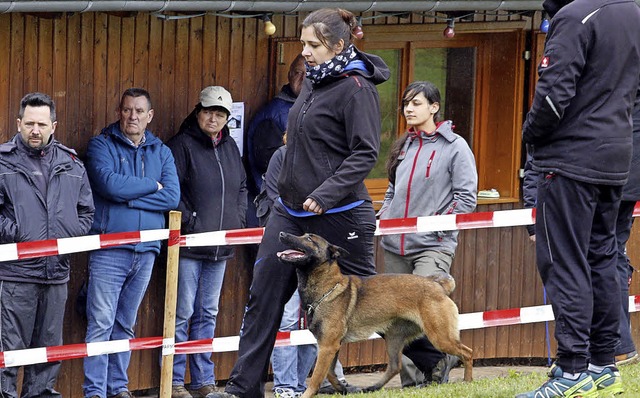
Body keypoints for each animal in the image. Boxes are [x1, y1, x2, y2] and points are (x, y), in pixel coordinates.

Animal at [278, 232, 472, 396]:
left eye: (309, 238)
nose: (282, 234)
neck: (327, 288)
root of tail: (438, 286)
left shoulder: (328, 346)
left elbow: (317, 377)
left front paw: (308, 394)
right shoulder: (331, 346)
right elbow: (331, 374)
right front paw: (342, 388)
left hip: (440, 337)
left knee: (467, 352)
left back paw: (467, 380)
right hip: (394, 338)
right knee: (395, 366)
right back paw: (374, 387)